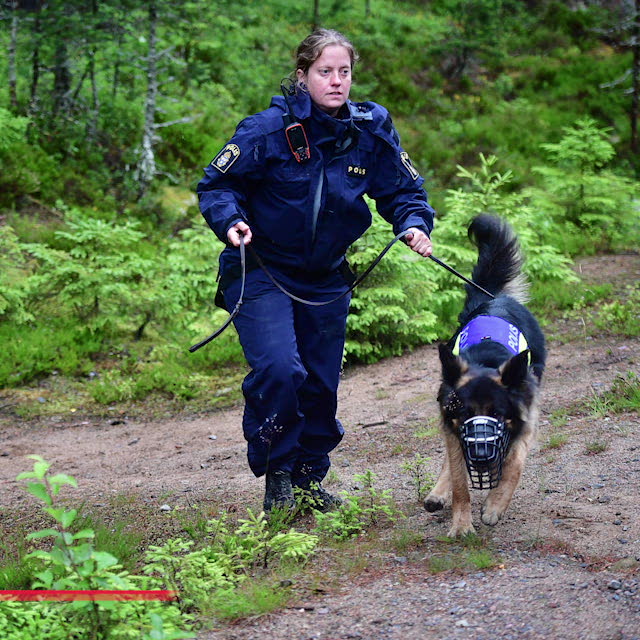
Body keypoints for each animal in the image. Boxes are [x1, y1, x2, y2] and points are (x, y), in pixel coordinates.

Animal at [424, 215, 544, 536]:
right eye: (467, 413)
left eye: (498, 413)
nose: (480, 456)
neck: (487, 363)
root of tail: (495, 298)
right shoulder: (455, 425)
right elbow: (459, 481)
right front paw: (461, 525)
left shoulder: (525, 423)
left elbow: (514, 466)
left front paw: (494, 505)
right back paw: (438, 493)